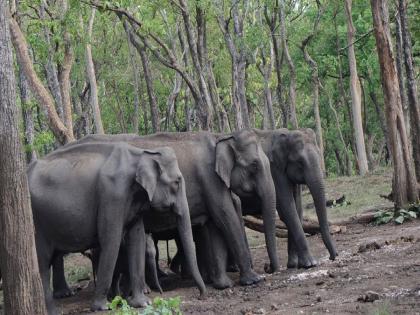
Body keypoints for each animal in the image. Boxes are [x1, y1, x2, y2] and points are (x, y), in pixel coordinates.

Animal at [27, 142, 205, 314]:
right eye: (177, 182)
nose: (201, 296)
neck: (141, 153)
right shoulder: (112, 196)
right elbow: (110, 240)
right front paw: (102, 307)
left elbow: (137, 239)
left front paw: (142, 303)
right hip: (37, 224)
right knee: (42, 263)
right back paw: (51, 310)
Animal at [72, 130, 280, 290]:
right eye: (254, 165)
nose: (269, 268)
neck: (220, 137)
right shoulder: (210, 179)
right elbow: (225, 217)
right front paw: (253, 280)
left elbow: (215, 225)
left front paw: (223, 284)